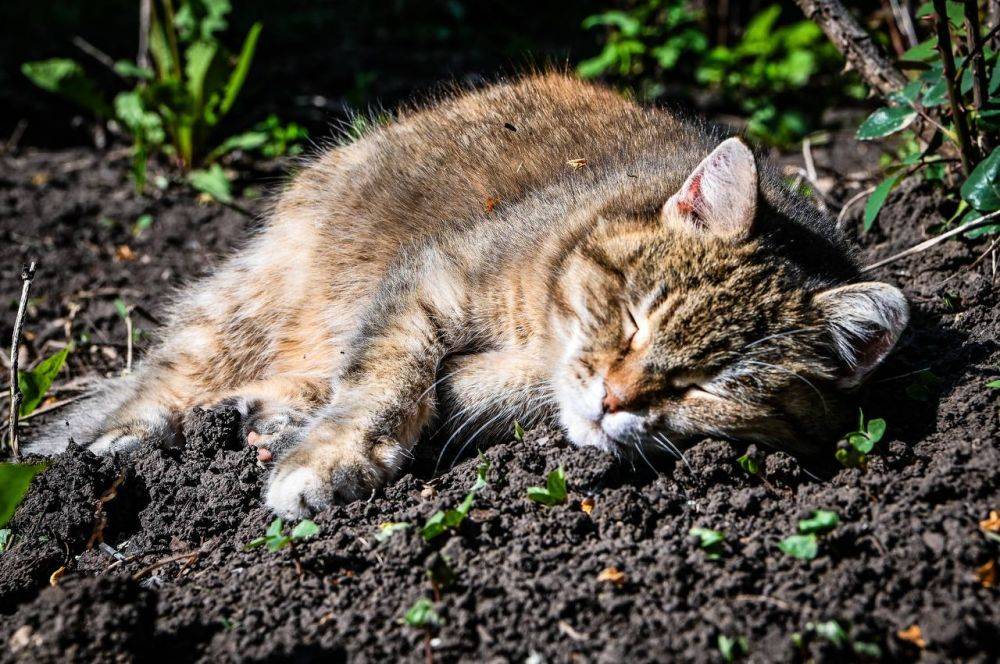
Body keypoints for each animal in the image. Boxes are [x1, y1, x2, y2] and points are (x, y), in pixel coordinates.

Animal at [33, 74, 908, 520]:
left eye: (709, 385)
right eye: (633, 317)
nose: (615, 398)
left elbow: (459, 388)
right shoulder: (431, 277)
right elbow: (383, 380)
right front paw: (331, 456)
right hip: (254, 296)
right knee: (165, 377)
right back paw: (111, 443)